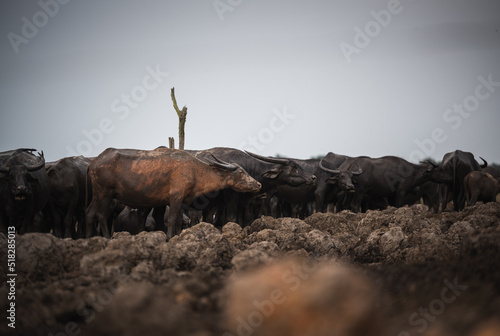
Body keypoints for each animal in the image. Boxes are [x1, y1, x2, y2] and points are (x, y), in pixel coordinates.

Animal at [86, 148, 262, 239]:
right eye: (241, 172)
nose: (258, 184)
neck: (194, 170)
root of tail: (94, 162)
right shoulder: (175, 198)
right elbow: (171, 220)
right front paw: (169, 237)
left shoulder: (181, 201)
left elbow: (178, 220)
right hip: (104, 194)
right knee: (101, 214)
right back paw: (107, 237)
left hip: (98, 196)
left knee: (90, 213)